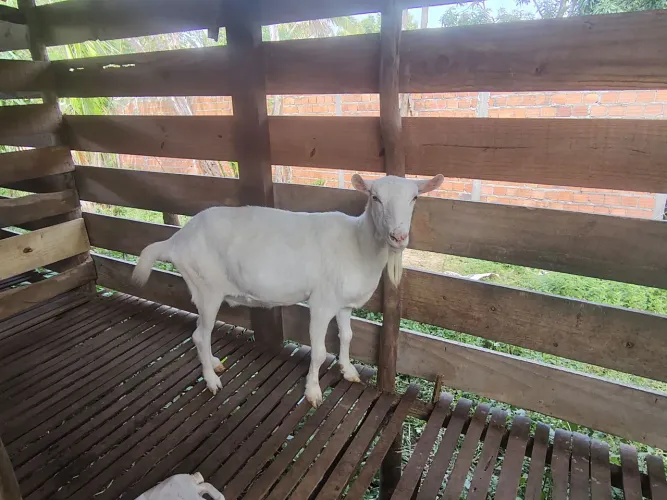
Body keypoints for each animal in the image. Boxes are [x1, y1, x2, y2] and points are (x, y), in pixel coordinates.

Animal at [132, 173, 444, 407]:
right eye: (375, 197)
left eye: (415, 198)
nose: (398, 236)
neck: (358, 244)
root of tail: (176, 240)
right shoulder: (321, 302)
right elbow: (319, 352)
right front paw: (313, 392)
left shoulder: (342, 302)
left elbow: (347, 336)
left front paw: (349, 371)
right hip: (206, 286)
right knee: (199, 335)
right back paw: (212, 381)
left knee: (202, 333)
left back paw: (215, 363)